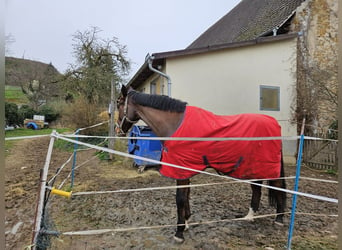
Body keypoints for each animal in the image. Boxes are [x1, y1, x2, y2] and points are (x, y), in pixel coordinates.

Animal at [117, 85, 286, 242]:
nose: (118, 131)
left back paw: (279, 219)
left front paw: (179, 233)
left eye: (119, 103)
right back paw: (250, 216)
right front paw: (186, 223)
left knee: (277, 187)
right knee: (256, 189)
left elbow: (180, 199)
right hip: (253, 167)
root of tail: (274, 123)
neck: (176, 125)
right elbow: (186, 196)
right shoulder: (184, 170)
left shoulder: (181, 171)